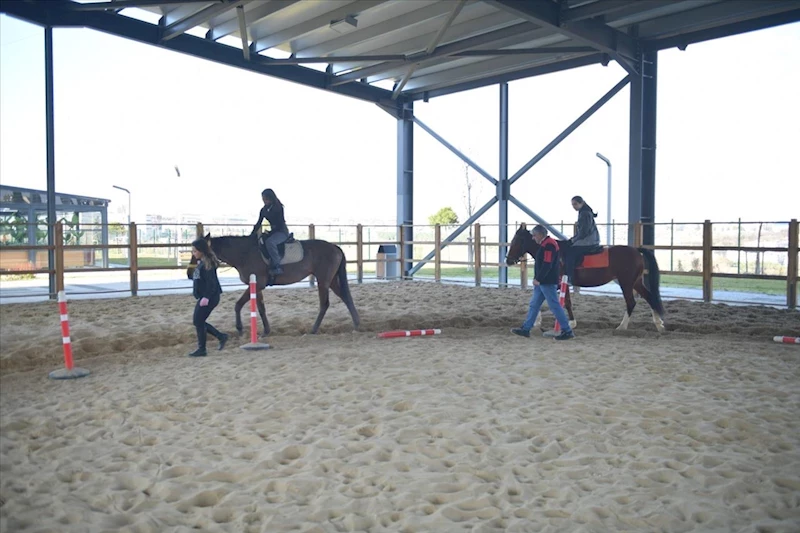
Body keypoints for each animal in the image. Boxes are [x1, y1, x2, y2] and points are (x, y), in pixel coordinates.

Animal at [188, 232, 360, 332]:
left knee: (325, 304)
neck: (244, 254)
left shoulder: (257, 284)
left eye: (197, 252)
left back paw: (314, 329)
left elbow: (241, 305)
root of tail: (335, 247)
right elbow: (259, 307)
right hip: (330, 280)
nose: (189, 274)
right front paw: (265, 330)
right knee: (345, 297)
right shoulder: (256, 287)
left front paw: (241, 327)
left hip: (323, 280)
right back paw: (356, 324)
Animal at [506, 221, 668, 330]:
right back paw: (658, 324)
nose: (508, 261)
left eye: (516, 241)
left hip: (626, 283)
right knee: (650, 297)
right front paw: (537, 321)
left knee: (631, 302)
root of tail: (636, 250)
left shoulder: (558, 283)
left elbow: (565, 302)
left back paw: (622, 327)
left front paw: (570, 323)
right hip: (636, 282)